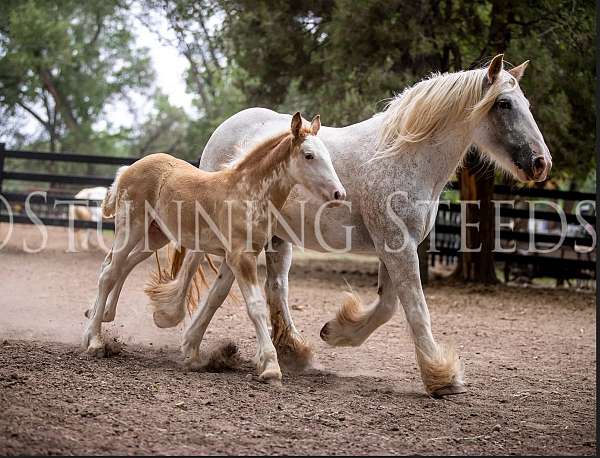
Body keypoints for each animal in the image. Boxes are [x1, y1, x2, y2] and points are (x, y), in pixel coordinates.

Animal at [84, 112, 346, 382]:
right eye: (309, 155)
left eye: (326, 153)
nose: (339, 193)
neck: (247, 193)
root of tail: (129, 168)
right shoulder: (241, 257)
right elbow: (255, 307)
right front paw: (271, 367)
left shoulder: (236, 258)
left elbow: (215, 297)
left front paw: (193, 354)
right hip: (131, 227)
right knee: (109, 272)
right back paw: (94, 341)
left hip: (155, 235)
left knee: (121, 266)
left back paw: (103, 315)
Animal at [171, 55, 552, 396]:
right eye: (504, 103)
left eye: (526, 103)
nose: (541, 163)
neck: (404, 156)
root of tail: (227, 127)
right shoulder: (398, 245)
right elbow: (415, 309)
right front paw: (441, 378)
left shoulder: (396, 246)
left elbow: (387, 306)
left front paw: (337, 331)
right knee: (203, 272)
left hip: (274, 238)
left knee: (265, 287)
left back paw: (283, 352)